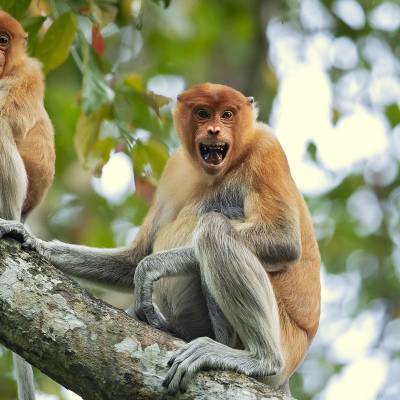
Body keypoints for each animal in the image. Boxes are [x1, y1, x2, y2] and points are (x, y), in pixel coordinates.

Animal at [0, 83, 320, 396]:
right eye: (203, 113)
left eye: (228, 114)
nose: (214, 131)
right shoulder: (175, 168)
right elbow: (132, 259)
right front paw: (32, 240)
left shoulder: (266, 149)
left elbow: (283, 240)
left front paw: (150, 268)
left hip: (285, 340)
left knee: (213, 228)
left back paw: (258, 358)